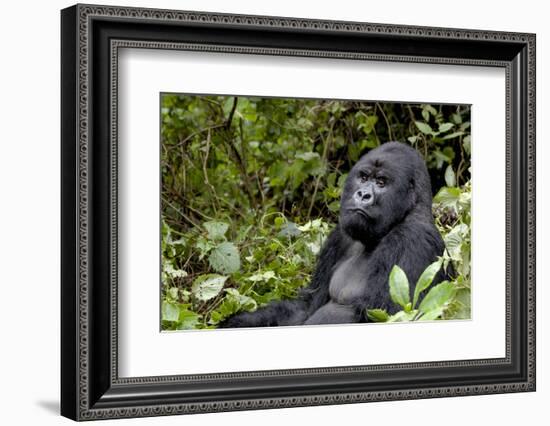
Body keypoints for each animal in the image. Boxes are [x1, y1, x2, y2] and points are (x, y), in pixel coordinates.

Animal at [220, 141, 448, 328]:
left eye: (381, 182)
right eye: (363, 177)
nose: (363, 195)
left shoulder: (413, 240)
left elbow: (394, 313)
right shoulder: (340, 236)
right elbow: (306, 307)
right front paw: (236, 322)